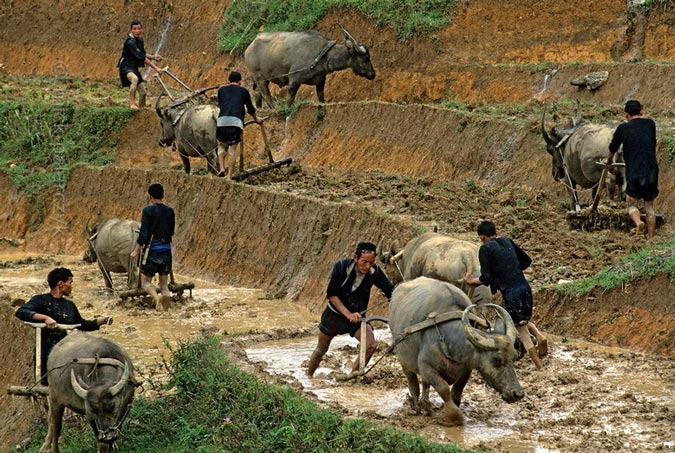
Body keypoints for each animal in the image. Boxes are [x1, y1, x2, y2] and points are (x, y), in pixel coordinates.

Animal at [246, 25, 378, 107]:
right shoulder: (294, 79)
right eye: (366, 58)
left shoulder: (320, 81)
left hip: (262, 79)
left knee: (257, 94)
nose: (373, 73)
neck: (322, 55)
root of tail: (249, 48)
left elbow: (321, 99)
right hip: (260, 78)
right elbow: (290, 100)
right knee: (266, 95)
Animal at [388, 278, 524, 426]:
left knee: (424, 384)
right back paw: (416, 407)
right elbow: (443, 388)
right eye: (497, 359)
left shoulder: (466, 369)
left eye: (515, 357)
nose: (517, 393)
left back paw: (427, 407)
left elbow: (457, 391)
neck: (448, 343)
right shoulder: (426, 367)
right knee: (413, 383)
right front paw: (453, 416)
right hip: (404, 361)